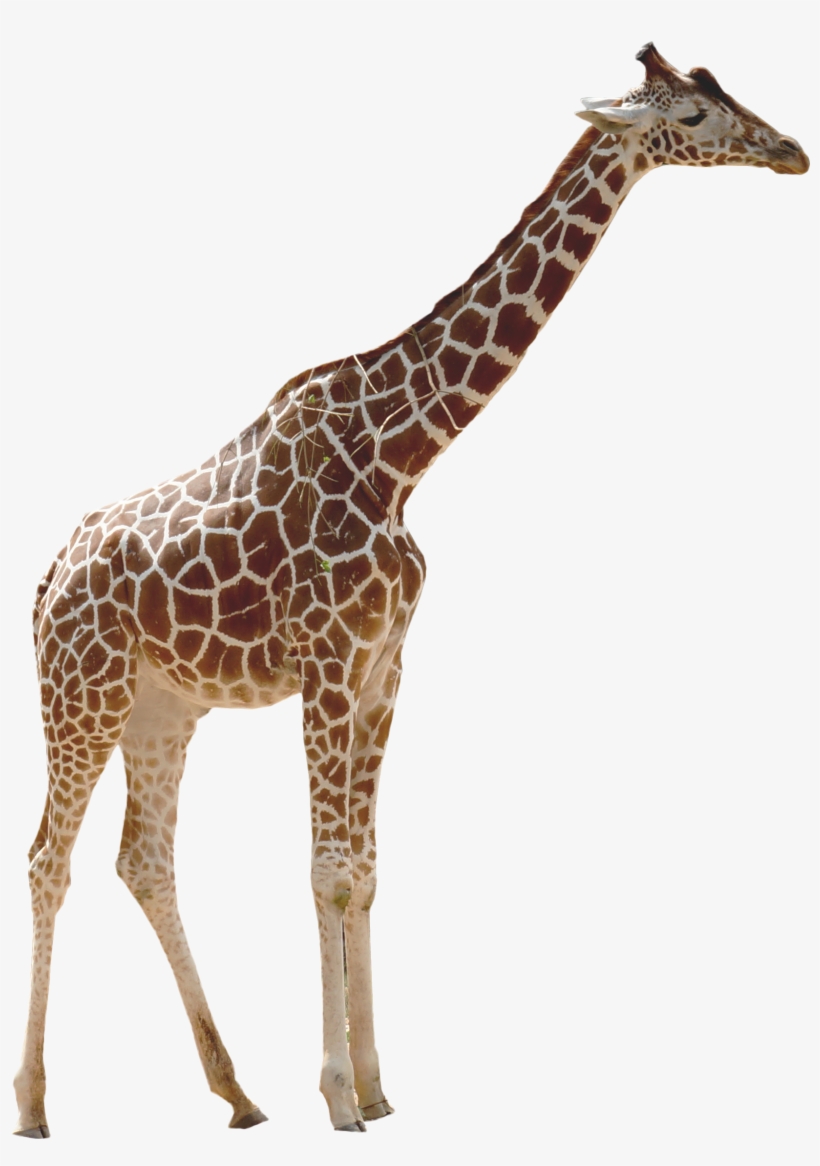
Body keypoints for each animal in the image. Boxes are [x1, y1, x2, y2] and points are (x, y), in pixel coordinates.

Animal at [14, 43, 808, 1139]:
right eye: (691, 117)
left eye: (722, 95)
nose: (791, 152)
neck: (403, 456)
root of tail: (49, 576)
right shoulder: (326, 666)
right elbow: (325, 869)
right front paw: (337, 1095)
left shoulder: (385, 669)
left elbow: (366, 872)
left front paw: (376, 1085)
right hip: (79, 693)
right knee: (48, 858)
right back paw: (36, 1104)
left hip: (162, 707)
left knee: (145, 858)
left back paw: (237, 1090)